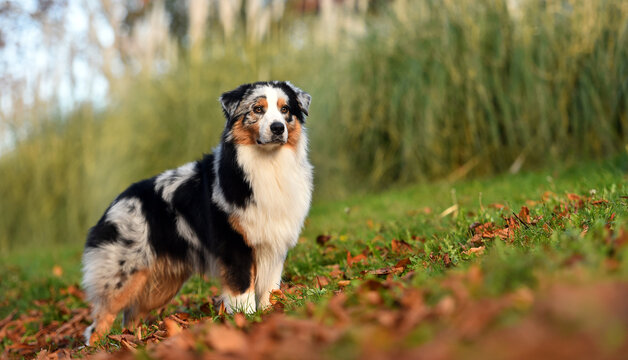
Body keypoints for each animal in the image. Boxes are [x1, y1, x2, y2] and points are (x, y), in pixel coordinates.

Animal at [81, 80, 312, 344]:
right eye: (257, 109)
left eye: (285, 110)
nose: (277, 128)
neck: (269, 165)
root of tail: (114, 204)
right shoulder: (234, 246)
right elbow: (242, 290)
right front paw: (246, 320)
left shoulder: (274, 245)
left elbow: (270, 290)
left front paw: (270, 315)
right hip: (123, 275)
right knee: (99, 322)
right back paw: (97, 347)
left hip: (161, 285)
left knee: (130, 315)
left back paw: (133, 339)